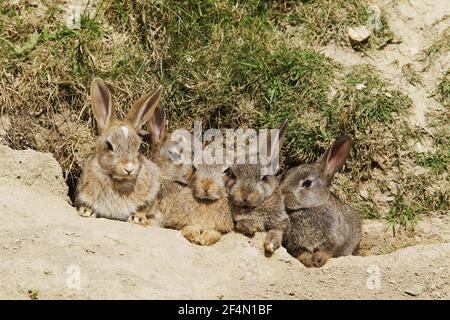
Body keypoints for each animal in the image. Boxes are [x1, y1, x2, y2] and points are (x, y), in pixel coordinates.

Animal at [74, 79, 163, 225]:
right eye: (109, 146)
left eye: (139, 147)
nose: (129, 168)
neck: (119, 180)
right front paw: (86, 211)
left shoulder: (152, 190)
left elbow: (146, 207)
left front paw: (138, 218)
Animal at [227, 119, 290, 255]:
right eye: (233, 175)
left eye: (264, 178)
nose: (244, 195)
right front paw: (251, 226)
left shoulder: (280, 220)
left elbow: (277, 230)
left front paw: (271, 244)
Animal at [282, 135, 362, 268]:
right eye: (287, 174)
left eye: (307, 183)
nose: (282, 194)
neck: (309, 208)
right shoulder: (294, 245)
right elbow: (302, 253)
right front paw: (308, 261)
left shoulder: (335, 239)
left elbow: (327, 250)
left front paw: (318, 260)